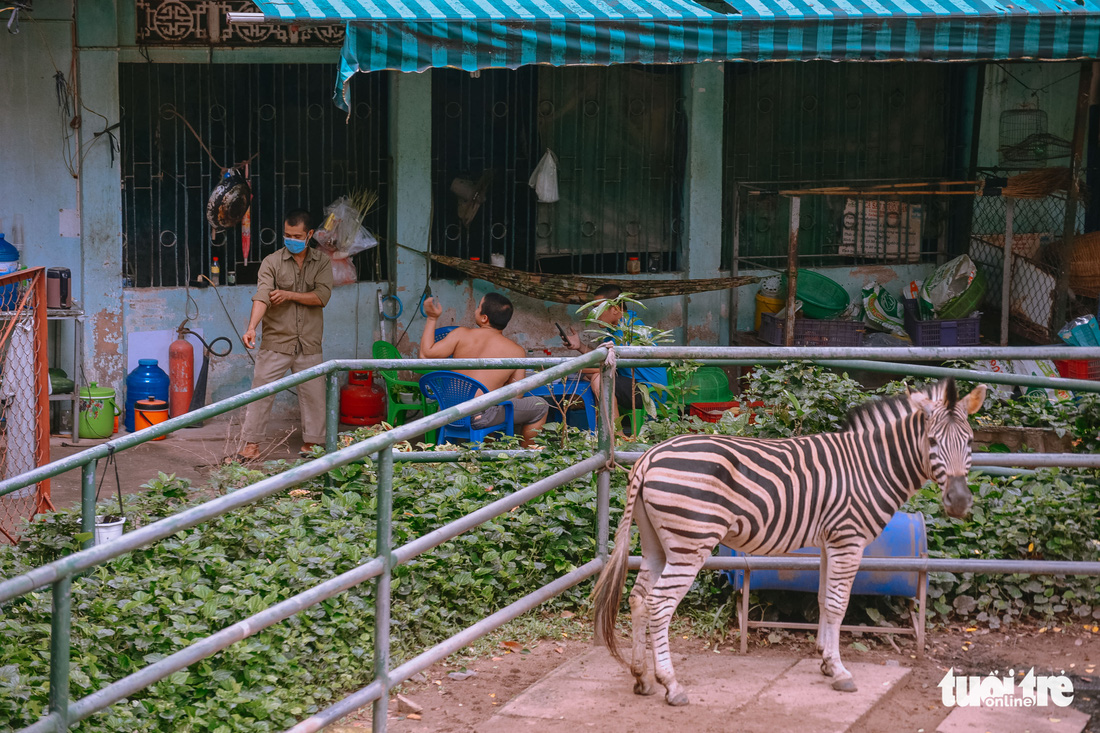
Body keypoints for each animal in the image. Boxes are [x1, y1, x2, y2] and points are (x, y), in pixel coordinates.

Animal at [594, 376, 990, 704]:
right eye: (932, 441)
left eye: (970, 442)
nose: (959, 502)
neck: (871, 466)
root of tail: (649, 456)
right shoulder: (848, 539)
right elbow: (838, 604)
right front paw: (840, 671)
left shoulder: (831, 542)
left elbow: (824, 599)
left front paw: (826, 661)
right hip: (691, 542)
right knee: (659, 604)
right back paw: (671, 685)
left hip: (657, 543)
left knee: (639, 598)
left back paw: (641, 678)